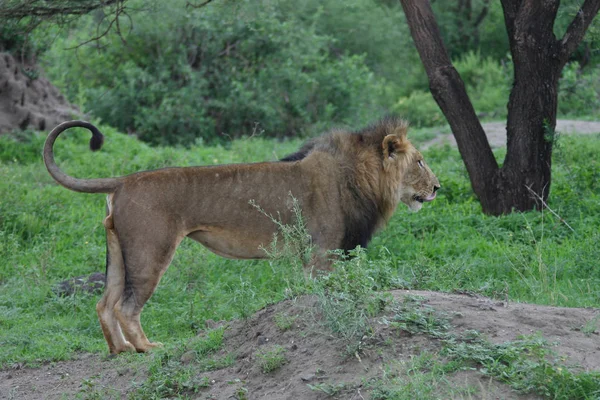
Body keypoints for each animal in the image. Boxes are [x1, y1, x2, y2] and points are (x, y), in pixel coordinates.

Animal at [41, 117, 436, 354]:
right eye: (419, 161)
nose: (438, 187)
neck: (360, 177)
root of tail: (123, 181)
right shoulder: (323, 252)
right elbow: (325, 290)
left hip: (119, 253)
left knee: (104, 303)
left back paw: (120, 350)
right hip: (150, 250)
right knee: (125, 306)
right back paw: (147, 348)